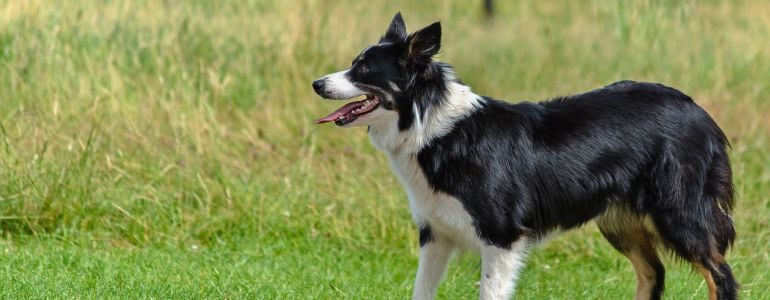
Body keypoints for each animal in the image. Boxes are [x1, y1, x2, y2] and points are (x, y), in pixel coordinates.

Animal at [312, 12, 736, 298]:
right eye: (354, 64)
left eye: (363, 69)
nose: (316, 83)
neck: (429, 126)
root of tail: (697, 109)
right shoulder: (435, 233)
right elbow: (421, 291)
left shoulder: (500, 237)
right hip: (619, 219)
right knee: (653, 273)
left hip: (678, 213)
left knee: (720, 275)